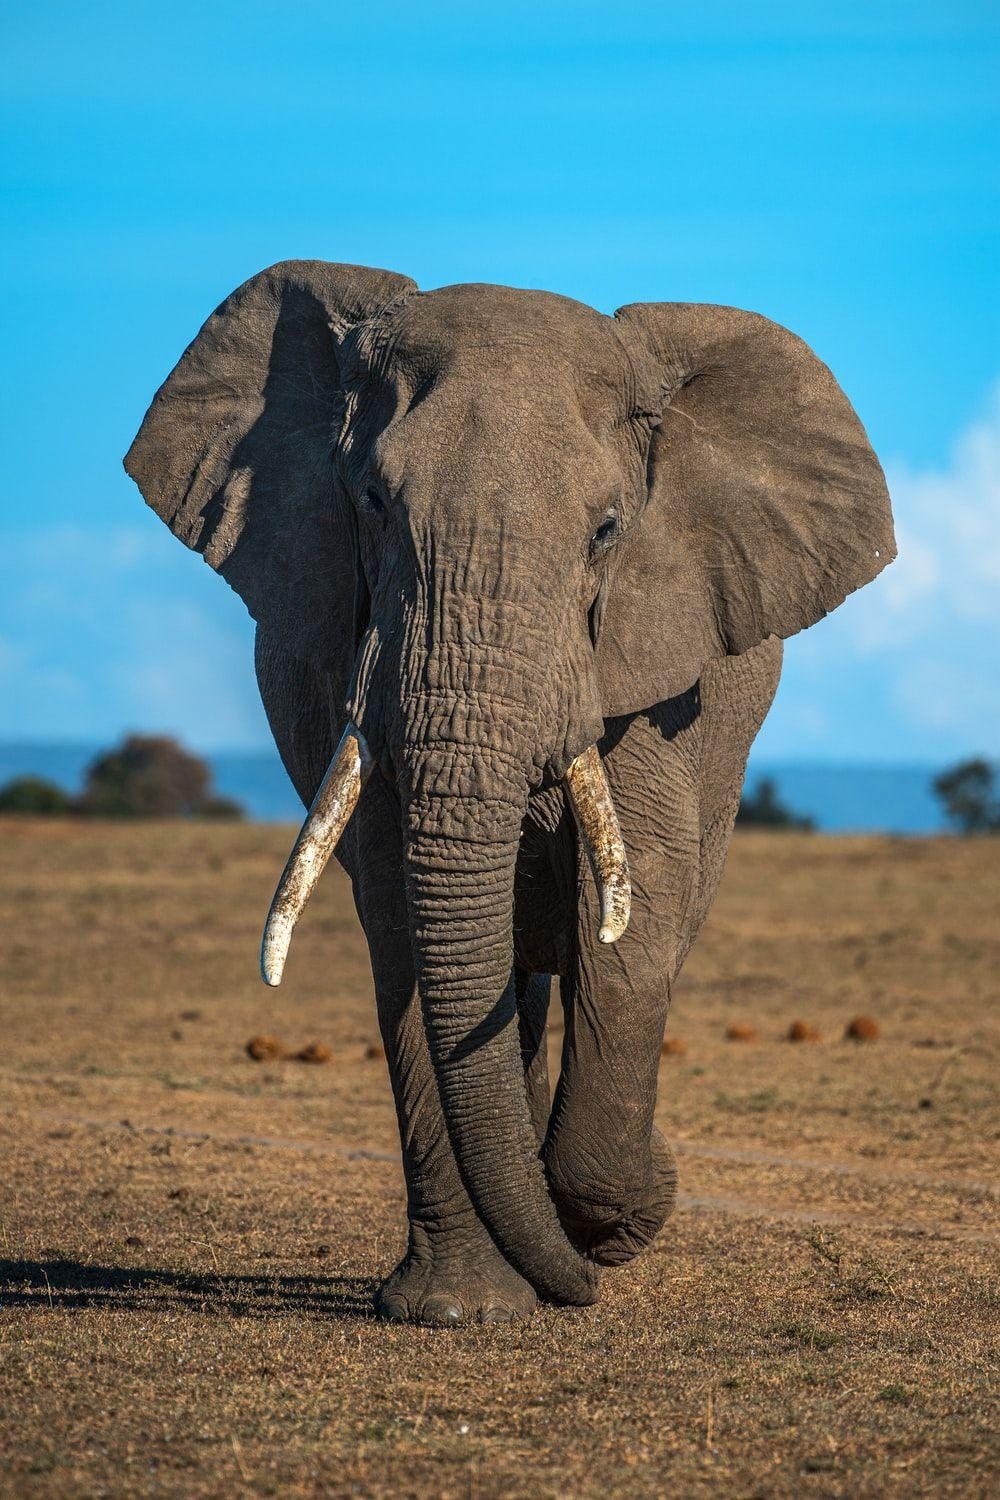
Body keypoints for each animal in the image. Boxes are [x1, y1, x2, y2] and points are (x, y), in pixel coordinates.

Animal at [121, 261, 893, 1326]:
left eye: (607, 531)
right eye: (371, 502)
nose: (587, 1281)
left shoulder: (646, 667)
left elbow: (633, 914)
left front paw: (608, 1223)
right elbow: (405, 921)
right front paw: (463, 1307)